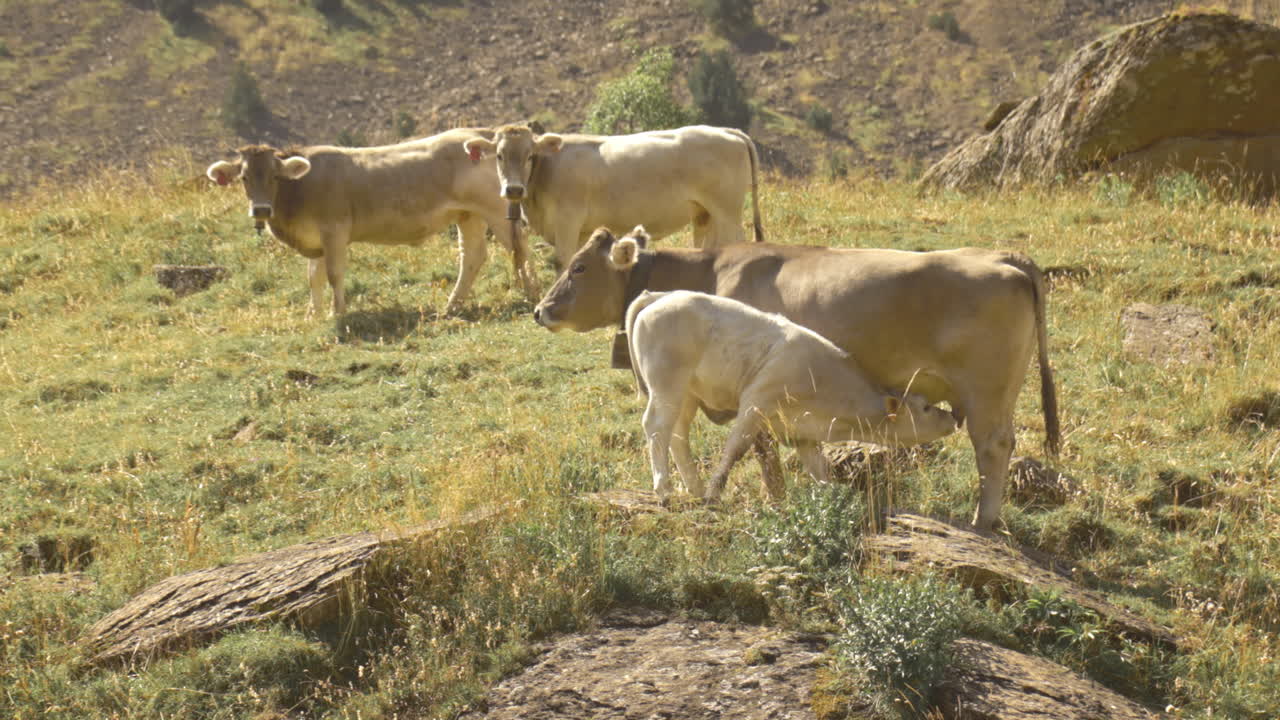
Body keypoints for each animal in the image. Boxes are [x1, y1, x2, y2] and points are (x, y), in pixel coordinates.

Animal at [205, 128, 540, 317]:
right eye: (244, 177)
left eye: (275, 177)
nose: (260, 209)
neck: (298, 191)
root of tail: (480, 136)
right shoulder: (316, 239)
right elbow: (313, 277)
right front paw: (313, 314)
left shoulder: (334, 231)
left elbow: (333, 274)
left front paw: (337, 312)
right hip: (468, 214)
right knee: (472, 256)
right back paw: (451, 306)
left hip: (495, 208)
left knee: (520, 247)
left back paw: (533, 294)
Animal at [460, 124, 764, 269]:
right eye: (499, 155)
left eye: (529, 156)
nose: (513, 190)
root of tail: (725, 130)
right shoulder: (580, 229)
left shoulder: (567, 220)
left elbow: (563, 259)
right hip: (704, 213)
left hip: (728, 211)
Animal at [627, 289, 959, 501]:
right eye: (926, 407)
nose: (953, 416)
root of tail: (660, 296)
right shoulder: (755, 404)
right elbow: (735, 449)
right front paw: (714, 492)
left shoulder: (804, 434)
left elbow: (819, 470)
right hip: (667, 387)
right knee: (656, 427)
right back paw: (665, 489)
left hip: (686, 396)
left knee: (677, 436)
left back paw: (692, 488)